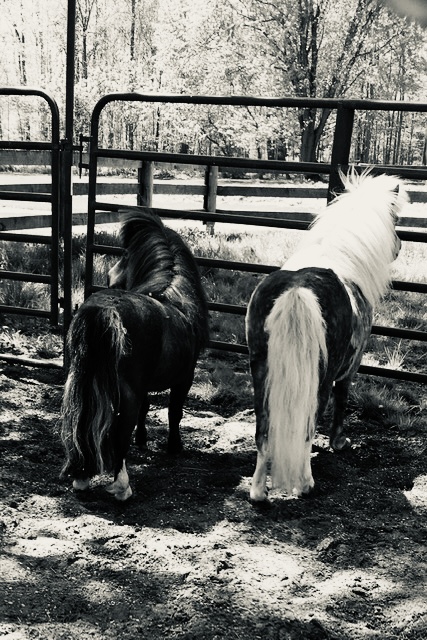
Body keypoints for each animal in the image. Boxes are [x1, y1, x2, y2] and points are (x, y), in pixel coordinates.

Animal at [61, 210, 209, 500]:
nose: (111, 275)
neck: (175, 297)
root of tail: (103, 312)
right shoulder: (184, 378)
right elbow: (174, 411)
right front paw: (174, 446)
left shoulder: (146, 383)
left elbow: (146, 408)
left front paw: (143, 440)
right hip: (125, 393)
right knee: (120, 435)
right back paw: (122, 488)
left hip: (81, 382)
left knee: (82, 424)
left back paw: (82, 477)